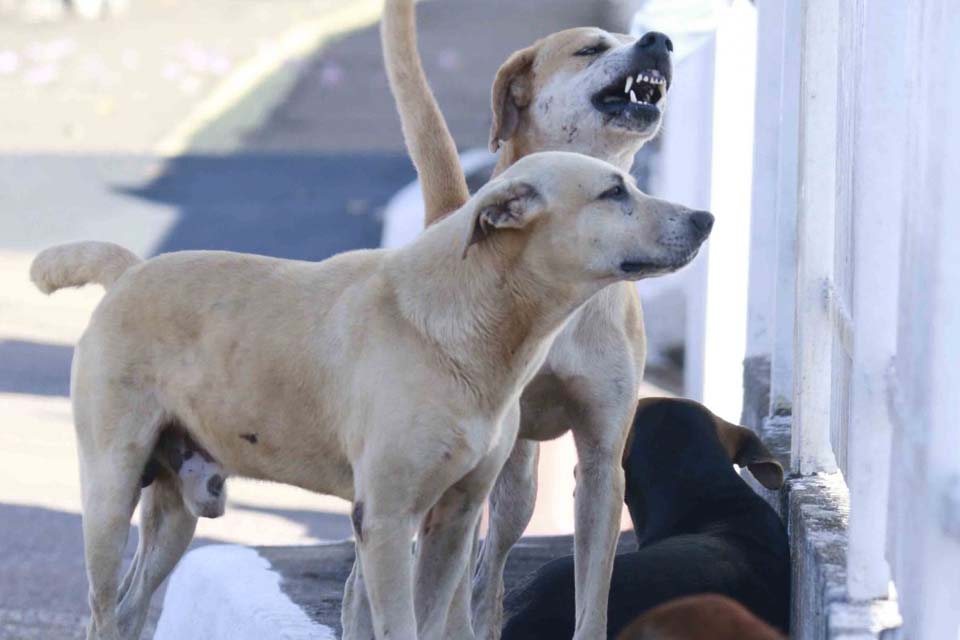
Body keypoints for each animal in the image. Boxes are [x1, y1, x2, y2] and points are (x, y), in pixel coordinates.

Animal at [31, 151, 712, 640]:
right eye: (613, 193)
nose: (705, 219)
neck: (470, 317)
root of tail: (128, 271)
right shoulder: (386, 519)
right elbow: (399, 624)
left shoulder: (456, 517)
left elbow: (432, 621)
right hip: (109, 492)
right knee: (103, 608)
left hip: (177, 511)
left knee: (129, 608)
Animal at [380, 2, 676, 636]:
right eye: (590, 48)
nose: (659, 39)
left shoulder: (602, 459)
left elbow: (593, 592)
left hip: (520, 485)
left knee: (489, 570)